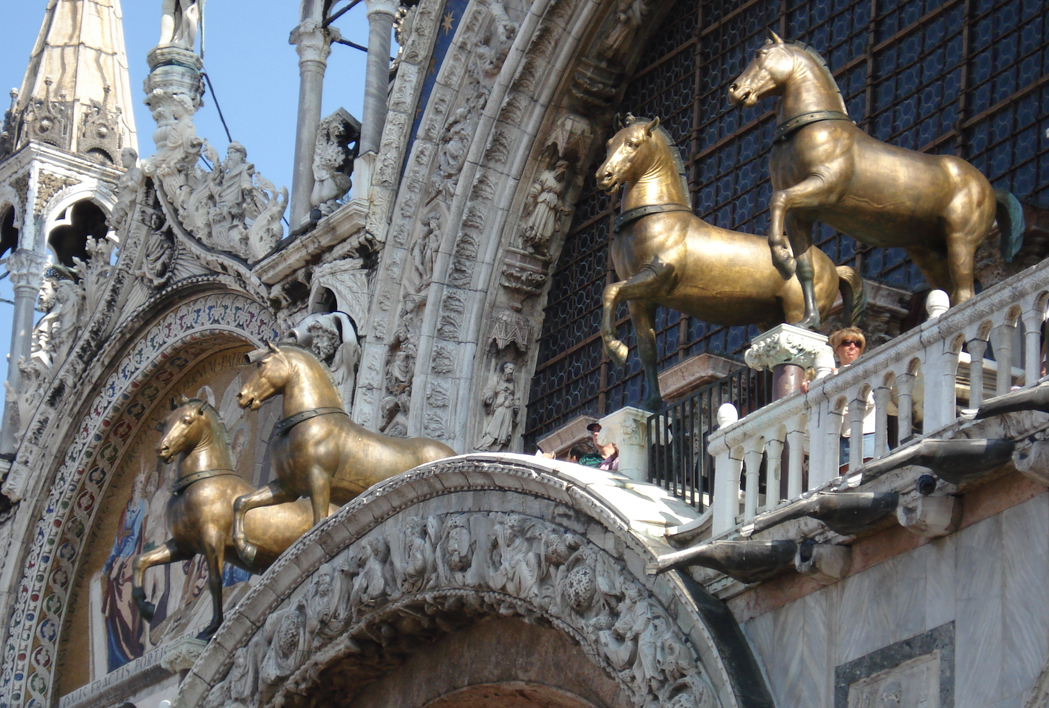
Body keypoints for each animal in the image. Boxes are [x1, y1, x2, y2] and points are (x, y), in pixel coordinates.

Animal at [236, 344, 457, 566]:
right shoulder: (287, 487)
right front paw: (245, 548)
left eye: (262, 364)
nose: (242, 396)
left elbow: (317, 524)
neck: (310, 420)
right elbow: (241, 502)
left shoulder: (318, 479)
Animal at [595, 114, 864, 413]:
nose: (603, 176)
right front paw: (652, 402)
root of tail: (833, 267)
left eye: (633, 143)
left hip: (797, 310)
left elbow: (610, 291)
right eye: (609, 144)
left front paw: (617, 349)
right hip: (769, 317)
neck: (657, 217)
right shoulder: (641, 300)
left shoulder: (657, 277)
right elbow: (647, 351)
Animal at [730, 28, 1007, 327]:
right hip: (929, 251)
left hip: (960, 239)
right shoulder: (799, 215)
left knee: (966, 289)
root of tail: (988, 187)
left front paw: (782, 258)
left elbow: (777, 199)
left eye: (760, 54)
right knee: (951, 288)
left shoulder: (823, 187)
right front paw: (809, 319)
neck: (811, 128)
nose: (735, 89)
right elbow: (805, 267)